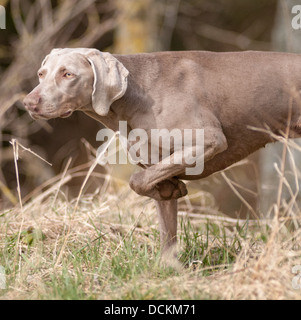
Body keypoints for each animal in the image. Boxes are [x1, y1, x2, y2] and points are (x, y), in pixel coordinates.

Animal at [24, 47, 300, 262]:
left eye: (68, 74)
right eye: (41, 74)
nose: (28, 103)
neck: (136, 96)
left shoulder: (210, 140)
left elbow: (136, 181)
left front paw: (174, 188)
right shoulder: (159, 166)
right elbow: (167, 229)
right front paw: (168, 268)